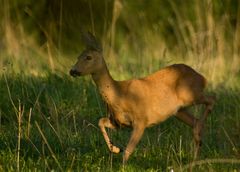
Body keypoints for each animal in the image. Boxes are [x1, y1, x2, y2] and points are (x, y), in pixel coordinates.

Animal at [69, 32, 216, 164]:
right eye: (78, 56)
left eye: (88, 57)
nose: (72, 70)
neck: (119, 94)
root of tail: (202, 77)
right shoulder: (119, 122)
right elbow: (100, 121)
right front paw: (114, 148)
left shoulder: (141, 120)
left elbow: (128, 150)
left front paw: (122, 164)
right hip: (179, 110)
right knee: (195, 120)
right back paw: (195, 154)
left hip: (191, 95)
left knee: (211, 99)